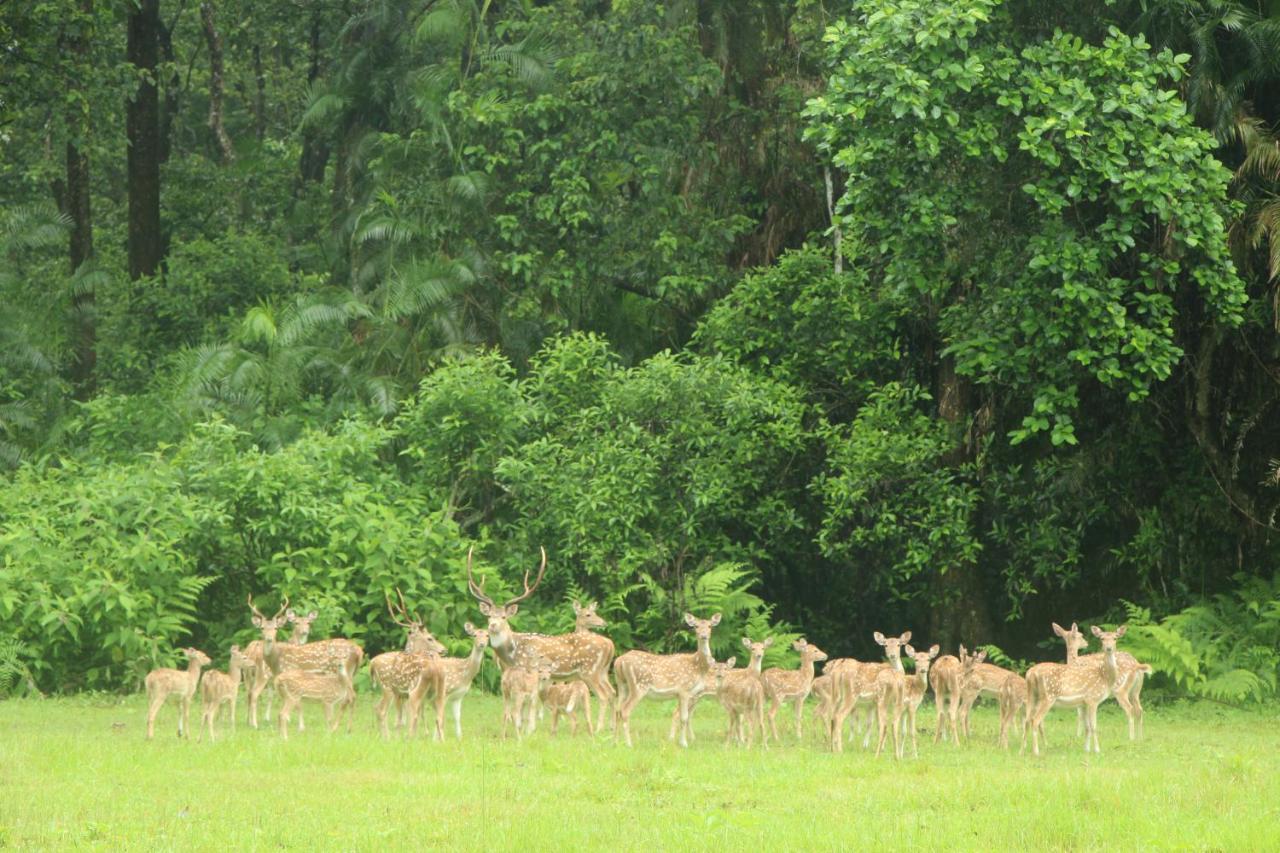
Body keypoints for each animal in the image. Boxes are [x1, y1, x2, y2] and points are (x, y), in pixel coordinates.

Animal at [465, 545, 614, 722]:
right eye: (489, 616)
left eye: (503, 617)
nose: (493, 625)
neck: (513, 653)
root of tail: (610, 645)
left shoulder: (529, 670)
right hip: (602, 671)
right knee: (612, 693)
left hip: (589, 670)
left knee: (603, 696)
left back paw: (599, 726)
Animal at [614, 612, 727, 742]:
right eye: (696, 626)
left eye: (710, 626)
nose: (704, 636)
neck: (698, 667)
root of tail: (619, 661)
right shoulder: (684, 689)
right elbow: (684, 717)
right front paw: (684, 743)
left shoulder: (683, 694)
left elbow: (681, 716)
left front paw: (677, 740)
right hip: (639, 685)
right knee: (625, 710)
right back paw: (628, 743)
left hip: (622, 685)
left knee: (617, 710)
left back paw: (615, 741)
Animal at [1024, 622, 1136, 753]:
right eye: (1102, 638)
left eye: (1115, 638)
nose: (1108, 648)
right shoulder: (1091, 700)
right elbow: (1092, 725)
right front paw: (1095, 749)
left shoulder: (1084, 702)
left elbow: (1087, 725)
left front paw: (1086, 748)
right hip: (1047, 697)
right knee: (1034, 720)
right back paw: (1036, 751)